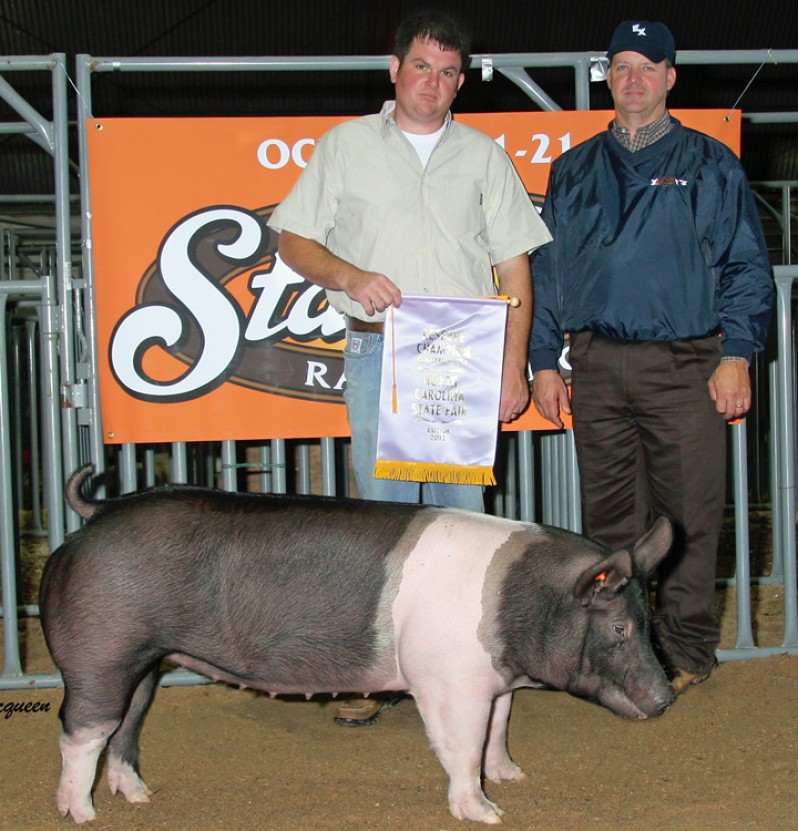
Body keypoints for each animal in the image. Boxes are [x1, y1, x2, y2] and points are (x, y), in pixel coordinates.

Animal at [40, 464, 680, 824]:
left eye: (650, 620)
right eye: (619, 629)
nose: (668, 699)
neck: (518, 607)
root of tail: (99, 511)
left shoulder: (493, 679)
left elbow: (499, 729)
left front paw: (512, 777)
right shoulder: (447, 682)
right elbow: (462, 746)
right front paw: (487, 813)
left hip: (146, 662)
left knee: (126, 726)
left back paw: (139, 798)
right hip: (101, 651)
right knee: (81, 731)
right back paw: (82, 813)